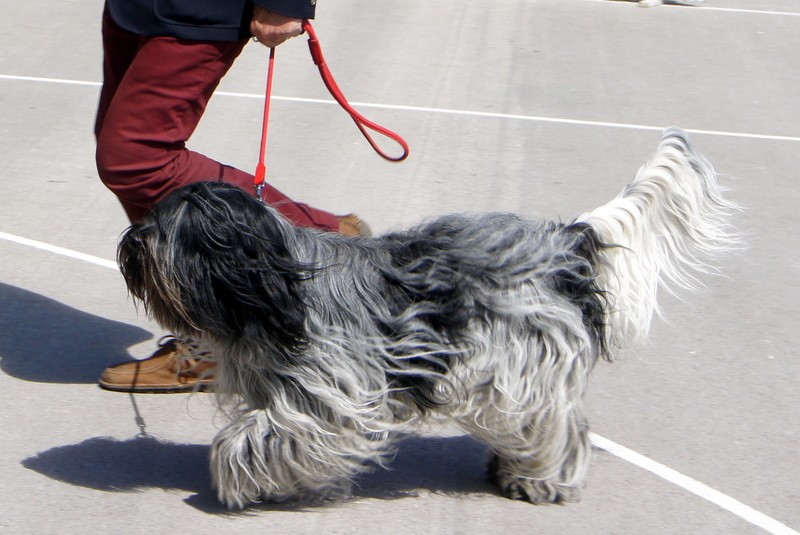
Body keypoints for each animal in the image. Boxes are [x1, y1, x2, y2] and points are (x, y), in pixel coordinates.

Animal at [117, 126, 736, 510]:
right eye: (155, 216)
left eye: (175, 230)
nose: (130, 242)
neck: (274, 290)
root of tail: (564, 240)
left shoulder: (332, 389)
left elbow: (257, 438)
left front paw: (239, 481)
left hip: (525, 361)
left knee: (560, 426)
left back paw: (540, 479)